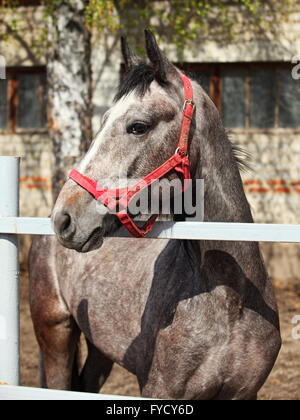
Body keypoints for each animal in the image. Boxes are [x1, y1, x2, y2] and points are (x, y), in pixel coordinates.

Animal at [29, 30, 280, 400]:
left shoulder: (244, 393)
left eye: (138, 126)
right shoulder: (159, 391)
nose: (64, 218)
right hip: (56, 335)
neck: (230, 300)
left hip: (100, 348)